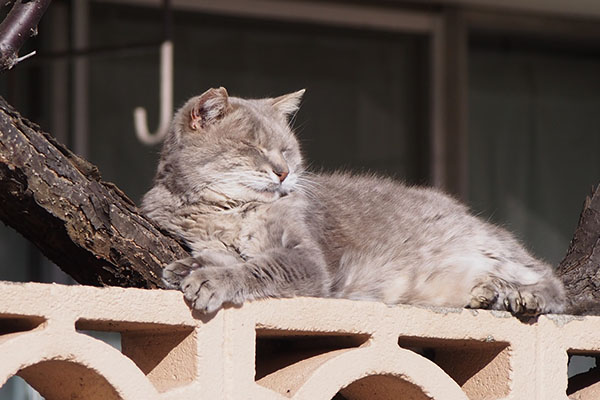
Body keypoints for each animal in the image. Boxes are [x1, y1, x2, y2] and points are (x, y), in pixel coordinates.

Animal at [143, 86, 564, 316]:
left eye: (286, 150)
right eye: (253, 148)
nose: (284, 172)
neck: (224, 212)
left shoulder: (305, 258)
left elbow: (258, 267)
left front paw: (211, 278)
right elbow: (222, 255)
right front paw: (187, 266)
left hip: (492, 247)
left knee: (550, 279)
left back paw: (524, 296)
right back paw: (485, 293)